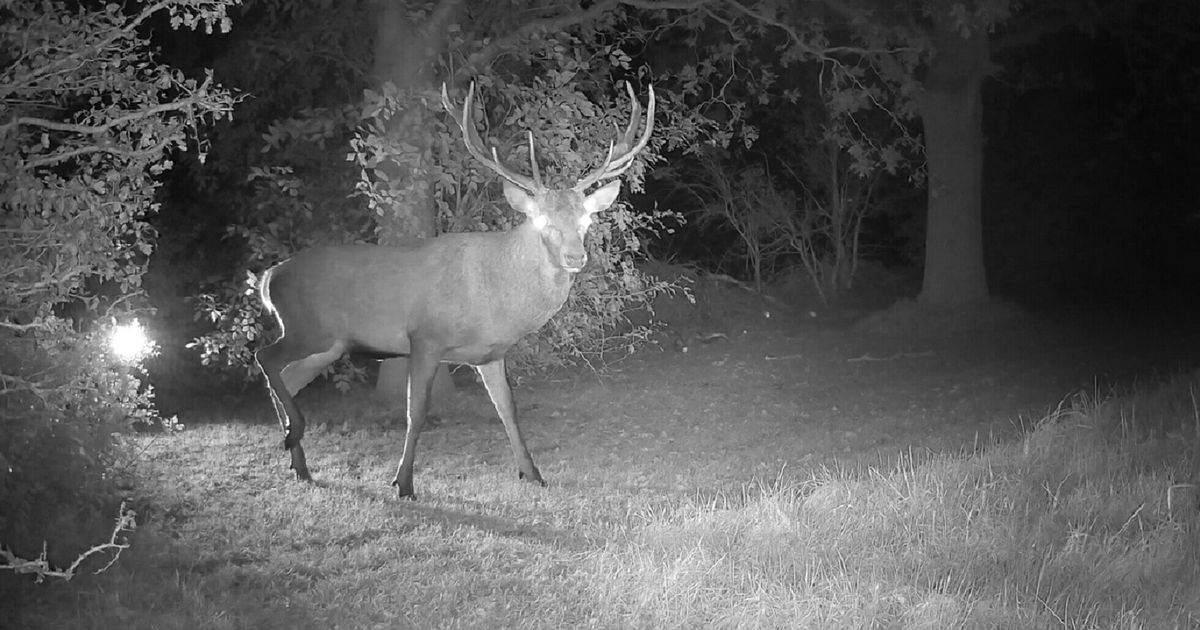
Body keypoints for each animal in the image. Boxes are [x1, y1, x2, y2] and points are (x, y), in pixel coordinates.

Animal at [254, 81, 655, 499]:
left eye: (586, 219)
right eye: (543, 221)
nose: (576, 256)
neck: (493, 296)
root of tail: (268, 277)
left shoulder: (491, 354)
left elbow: (508, 410)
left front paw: (532, 474)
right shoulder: (425, 337)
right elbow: (416, 412)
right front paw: (403, 483)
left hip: (328, 345)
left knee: (286, 377)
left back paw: (299, 464)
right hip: (305, 328)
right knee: (264, 357)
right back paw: (292, 434)